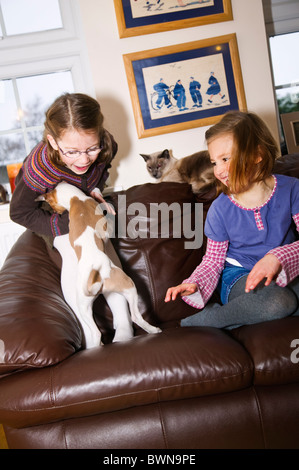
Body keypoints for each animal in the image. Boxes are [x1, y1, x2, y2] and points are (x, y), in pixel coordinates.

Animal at [37, 182, 162, 346]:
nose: (56, 213)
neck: (77, 199)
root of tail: (95, 276)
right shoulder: (107, 228)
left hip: (84, 307)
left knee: (96, 333)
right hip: (129, 285)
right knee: (135, 316)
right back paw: (153, 330)